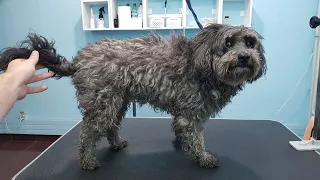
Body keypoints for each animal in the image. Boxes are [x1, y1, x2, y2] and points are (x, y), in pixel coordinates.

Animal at [0, 23, 264, 170]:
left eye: (250, 43)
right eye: (227, 43)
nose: (244, 57)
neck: (202, 62)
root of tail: (78, 61)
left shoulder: (183, 112)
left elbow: (181, 130)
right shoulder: (192, 114)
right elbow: (196, 138)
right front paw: (203, 158)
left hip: (117, 102)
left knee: (110, 128)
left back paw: (116, 143)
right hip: (102, 105)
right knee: (87, 133)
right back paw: (87, 161)